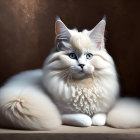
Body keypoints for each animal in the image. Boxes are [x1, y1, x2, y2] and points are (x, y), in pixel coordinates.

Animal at [0, 17, 139, 130]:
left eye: (89, 56)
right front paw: (88, 119)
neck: (83, 87)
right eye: (72, 56)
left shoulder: (105, 107)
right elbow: (84, 120)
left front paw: (96, 118)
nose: (81, 65)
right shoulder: (63, 114)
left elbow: (100, 117)